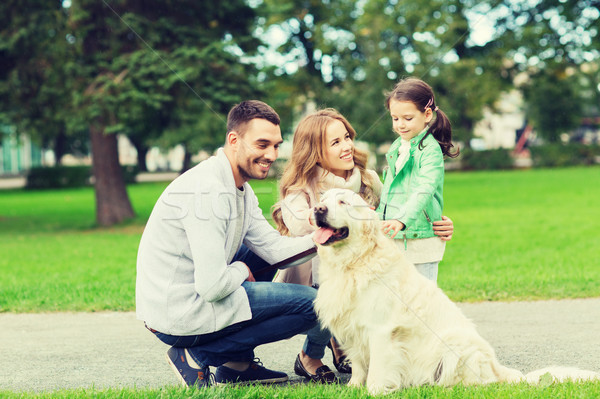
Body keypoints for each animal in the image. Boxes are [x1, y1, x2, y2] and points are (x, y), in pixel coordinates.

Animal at [312, 190, 596, 394]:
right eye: (322, 200)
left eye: (342, 201)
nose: (317, 209)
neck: (353, 262)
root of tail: (501, 368)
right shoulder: (352, 328)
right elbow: (359, 365)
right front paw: (353, 387)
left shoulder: (380, 330)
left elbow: (378, 368)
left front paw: (374, 390)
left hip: (456, 346)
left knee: (479, 383)